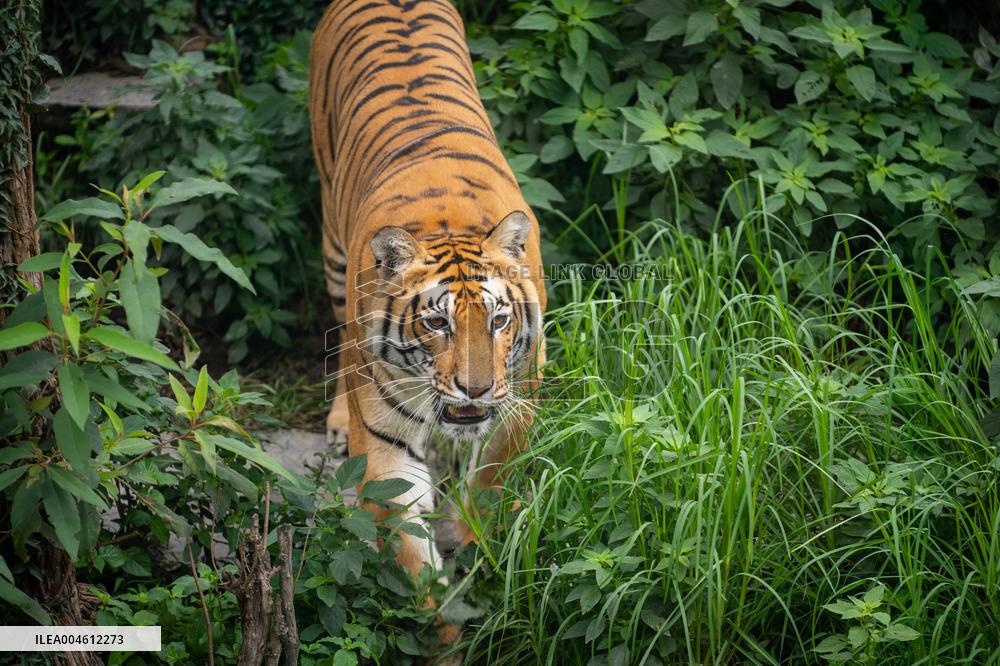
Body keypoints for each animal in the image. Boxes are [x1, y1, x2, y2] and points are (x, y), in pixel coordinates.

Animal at [308, 0, 546, 592]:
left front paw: (474, 545)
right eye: (437, 324)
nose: (475, 389)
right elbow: (409, 546)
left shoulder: (519, 403)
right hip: (332, 246)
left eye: (499, 320)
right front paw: (438, 610)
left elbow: (491, 484)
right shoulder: (385, 436)